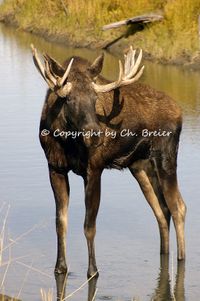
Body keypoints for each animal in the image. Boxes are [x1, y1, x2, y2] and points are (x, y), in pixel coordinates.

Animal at [30, 44, 186, 276]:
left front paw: (93, 270)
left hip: (166, 158)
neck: (65, 140)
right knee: (162, 210)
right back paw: (164, 254)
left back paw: (182, 259)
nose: (95, 135)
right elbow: (60, 222)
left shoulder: (94, 169)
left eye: (95, 99)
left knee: (178, 208)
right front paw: (60, 267)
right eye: (69, 99)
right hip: (140, 167)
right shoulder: (54, 167)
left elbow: (89, 225)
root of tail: (180, 111)